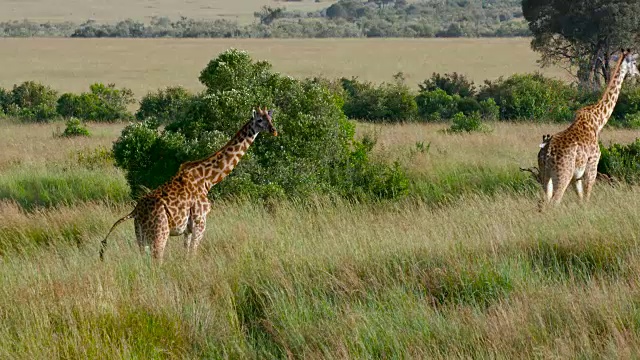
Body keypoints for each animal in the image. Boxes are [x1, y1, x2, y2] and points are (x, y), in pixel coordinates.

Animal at [100, 107, 278, 262]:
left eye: (271, 118)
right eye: (260, 120)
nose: (274, 130)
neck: (208, 179)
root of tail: (135, 211)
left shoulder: (188, 229)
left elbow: (186, 254)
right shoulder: (200, 222)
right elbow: (192, 254)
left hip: (141, 236)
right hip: (160, 234)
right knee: (157, 260)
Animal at [536, 49, 636, 205]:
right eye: (635, 62)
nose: (637, 73)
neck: (598, 122)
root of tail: (546, 152)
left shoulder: (577, 176)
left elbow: (581, 198)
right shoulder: (592, 165)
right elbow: (587, 197)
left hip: (544, 175)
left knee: (544, 200)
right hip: (563, 174)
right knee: (555, 201)